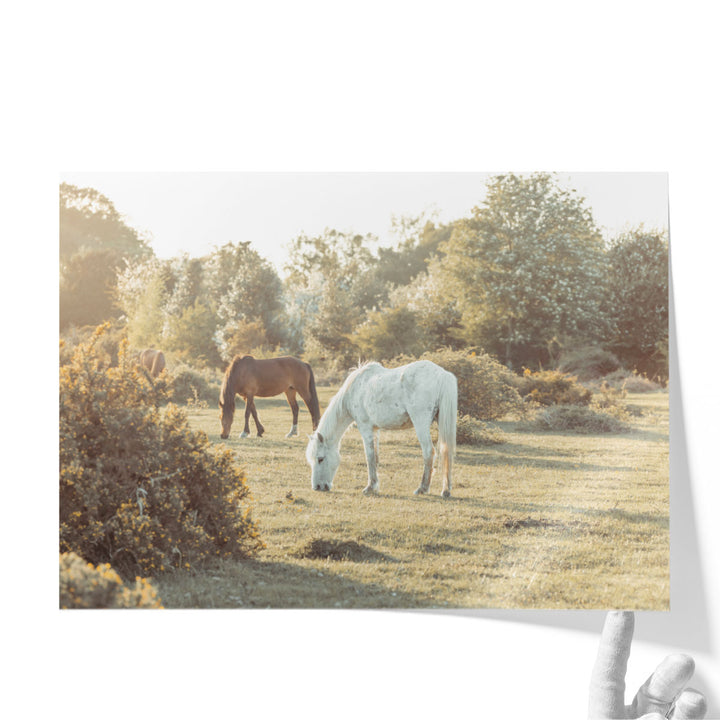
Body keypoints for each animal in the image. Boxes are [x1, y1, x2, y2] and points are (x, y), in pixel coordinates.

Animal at [306, 360, 457, 497]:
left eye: (320, 459)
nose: (317, 487)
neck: (354, 390)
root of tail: (442, 374)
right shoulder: (375, 430)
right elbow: (376, 457)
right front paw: (375, 485)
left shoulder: (365, 428)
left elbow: (370, 457)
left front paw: (369, 487)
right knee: (446, 451)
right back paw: (446, 490)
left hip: (420, 423)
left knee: (428, 452)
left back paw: (422, 488)